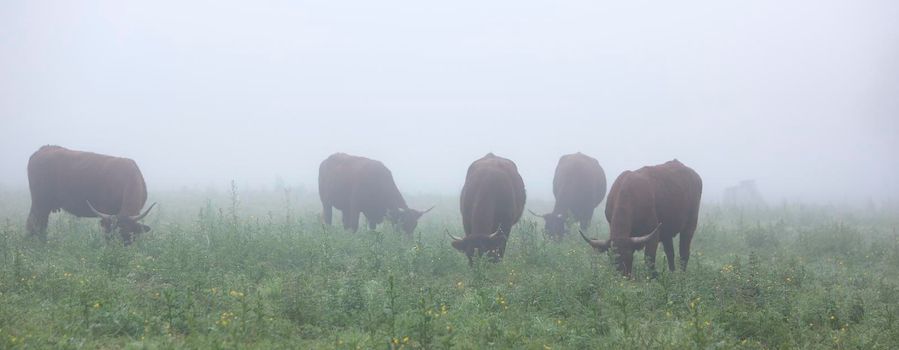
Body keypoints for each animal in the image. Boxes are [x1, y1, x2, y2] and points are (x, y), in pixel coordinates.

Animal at [25, 144, 158, 245]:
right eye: (113, 236)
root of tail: (43, 149)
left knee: (41, 224)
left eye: (130, 236)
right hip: (39, 202)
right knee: (33, 223)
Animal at [580, 159, 708, 276]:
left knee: (684, 253)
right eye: (612, 258)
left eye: (629, 256)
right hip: (667, 232)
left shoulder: (653, 234)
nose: (622, 275)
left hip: (690, 225)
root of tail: (695, 176)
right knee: (670, 253)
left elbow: (649, 260)